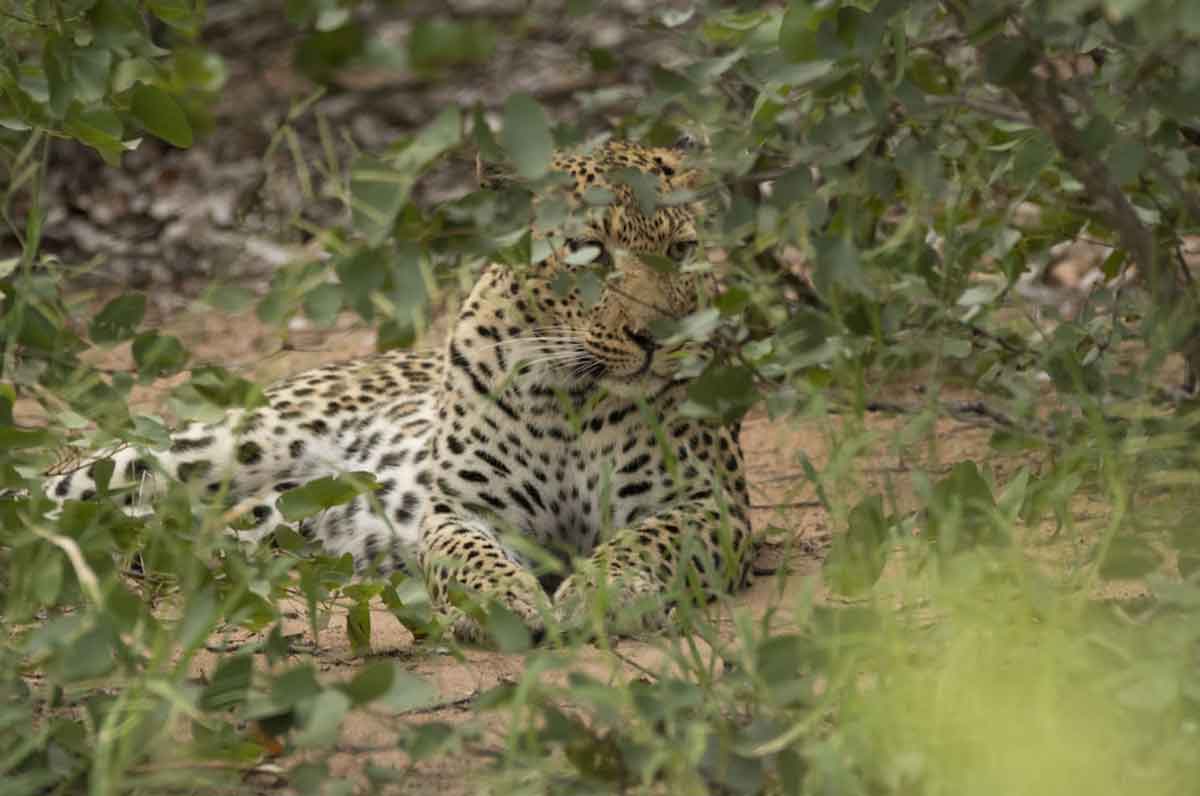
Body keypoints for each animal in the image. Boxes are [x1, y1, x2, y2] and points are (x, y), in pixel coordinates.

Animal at [39, 139, 756, 643]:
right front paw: (507, 601)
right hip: (205, 449)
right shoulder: (462, 508)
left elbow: (646, 542)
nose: (659, 336)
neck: (576, 400)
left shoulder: (709, 504)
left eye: (683, 249)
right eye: (589, 252)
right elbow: (467, 556)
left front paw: (600, 592)